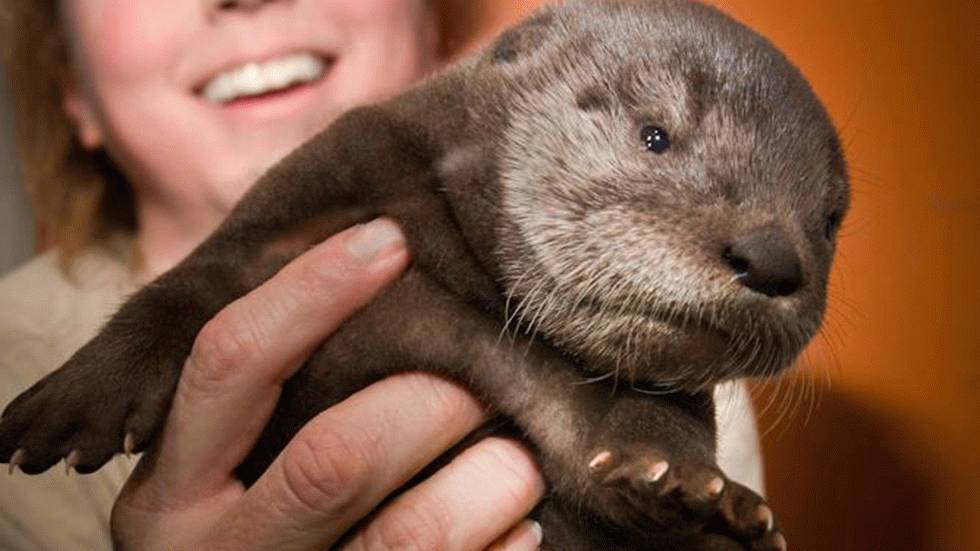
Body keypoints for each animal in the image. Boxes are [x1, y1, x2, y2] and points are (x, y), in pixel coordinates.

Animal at [0, 1, 848, 549]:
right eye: (656, 136)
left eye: (829, 218)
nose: (774, 257)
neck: (463, 290)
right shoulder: (335, 172)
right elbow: (186, 287)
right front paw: (72, 400)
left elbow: (650, 429)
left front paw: (700, 495)